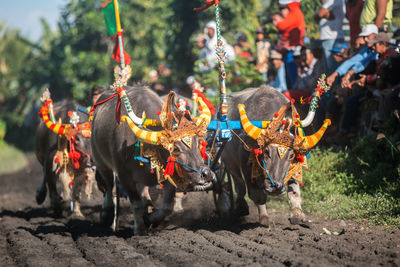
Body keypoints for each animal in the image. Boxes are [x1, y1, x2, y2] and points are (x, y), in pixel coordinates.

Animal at [91, 87, 216, 236]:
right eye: (175, 149)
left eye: (198, 143)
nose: (207, 174)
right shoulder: (124, 176)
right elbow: (136, 204)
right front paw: (140, 229)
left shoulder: (167, 176)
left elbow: (167, 206)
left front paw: (150, 220)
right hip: (101, 162)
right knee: (109, 188)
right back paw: (106, 215)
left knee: (144, 194)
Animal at [220, 86, 330, 226]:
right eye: (266, 152)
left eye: (291, 155)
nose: (276, 187)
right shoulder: (246, 162)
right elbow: (256, 194)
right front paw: (264, 216)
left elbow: (294, 190)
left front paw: (297, 214)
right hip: (228, 159)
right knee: (239, 183)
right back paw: (242, 208)